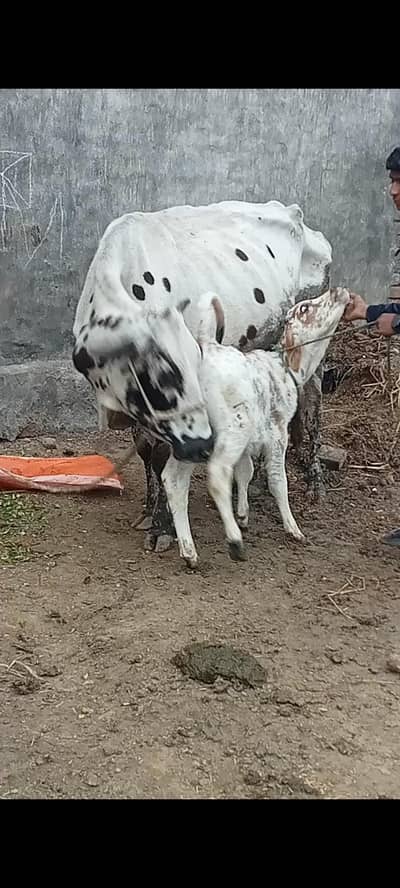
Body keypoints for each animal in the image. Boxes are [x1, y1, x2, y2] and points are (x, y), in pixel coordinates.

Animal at [72, 199, 332, 552]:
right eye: (161, 381)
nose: (201, 447)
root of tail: (293, 211)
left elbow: (160, 455)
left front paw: (162, 527)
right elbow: (145, 450)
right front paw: (148, 512)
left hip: (312, 344)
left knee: (312, 407)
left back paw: (314, 482)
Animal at [162, 287, 351, 568]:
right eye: (304, 308)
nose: (339, 290)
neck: (287, 368)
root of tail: (207, 347)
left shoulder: (250, 443)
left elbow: (245, 471)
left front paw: (243, 514)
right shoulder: (277, 435)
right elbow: (278, 481)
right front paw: (293, 528)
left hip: (191, 439)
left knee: (173, 481)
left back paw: (189, 550)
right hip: (233, 429)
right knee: (217, 475)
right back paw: (234, 543)